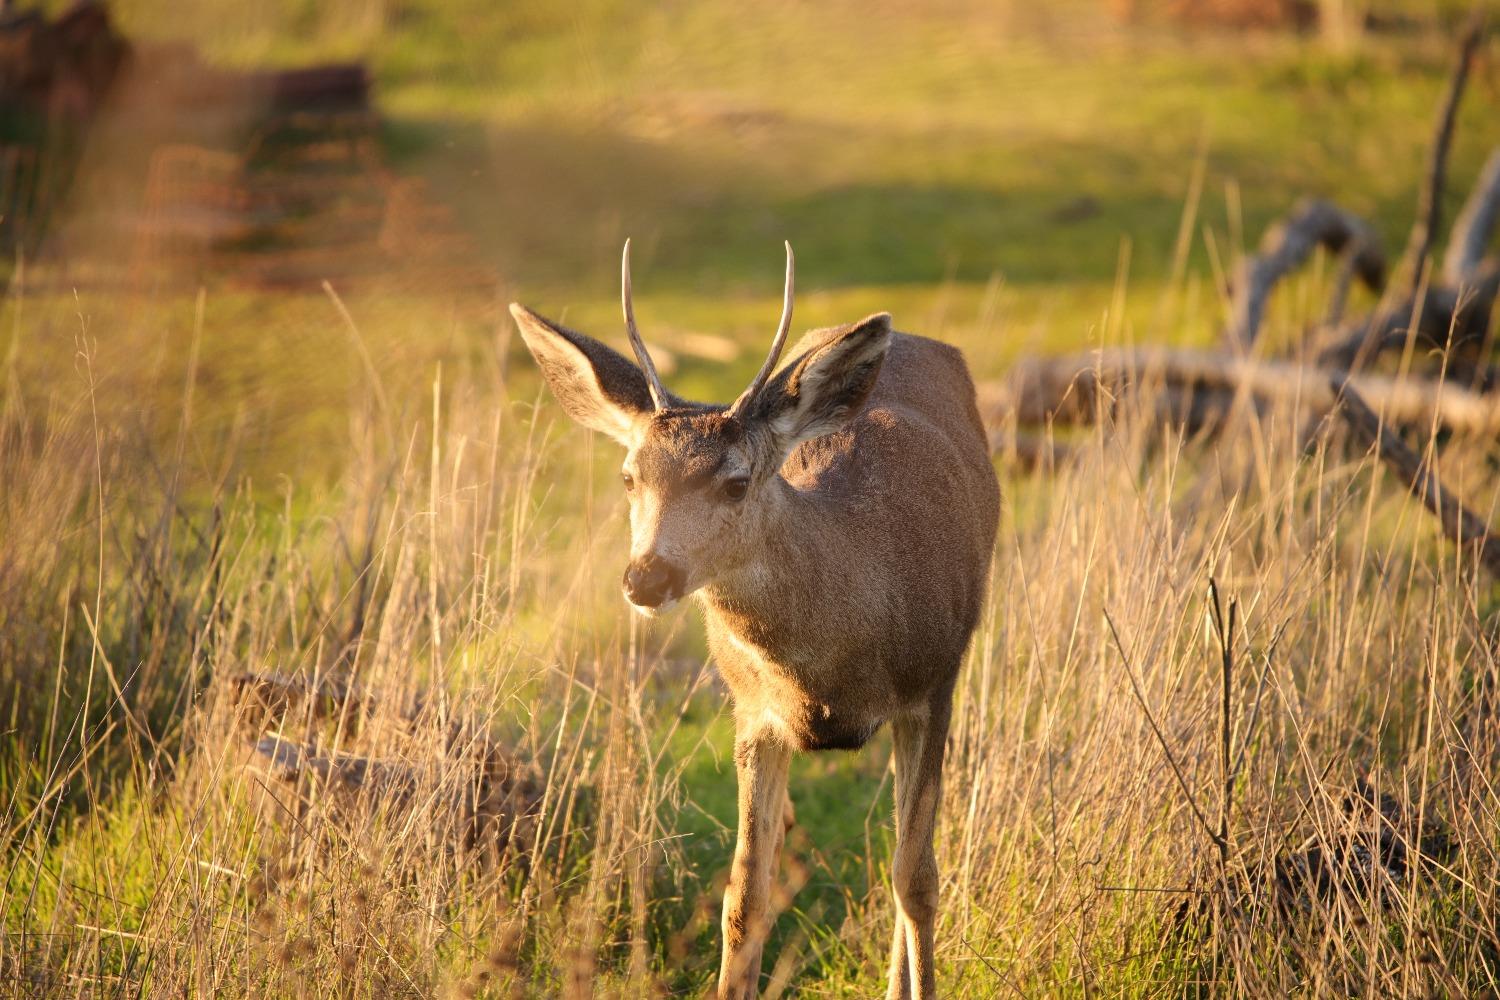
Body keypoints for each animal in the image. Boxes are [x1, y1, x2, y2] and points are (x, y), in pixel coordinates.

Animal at [510, 242, 1002, 1000]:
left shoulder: (934, 685)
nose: (646, 576)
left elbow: (916, 879)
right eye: (628, 477)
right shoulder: (751, 712)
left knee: (905, 864)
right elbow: (745, 897)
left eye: (737, 482)